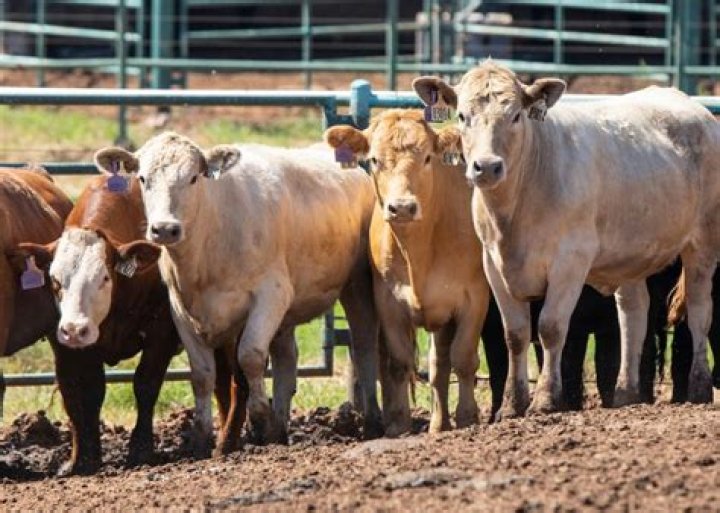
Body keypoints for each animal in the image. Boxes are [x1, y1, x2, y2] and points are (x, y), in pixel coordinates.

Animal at [15, 174, 241, 474]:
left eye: (104, 278)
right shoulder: (82, 346)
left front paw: (140, 449)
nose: (73, 330)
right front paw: (86, 458)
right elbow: (90, 393)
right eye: (55, 280)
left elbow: (145, 384)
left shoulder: (161, 333)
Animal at [93, 132, 383, 457]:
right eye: (143, 178)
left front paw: (259, 421)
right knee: (286, 358)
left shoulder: (270, 295)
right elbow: (202, 374)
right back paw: (280, 429)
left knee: (364, 344)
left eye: (194, 177)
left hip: (357, 283)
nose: (165, 229)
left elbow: (251, 357)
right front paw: (201, 439)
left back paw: (371, 422)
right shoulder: (180, 310)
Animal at [325, 110, 507, 434]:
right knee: (436, 365)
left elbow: (464, 358)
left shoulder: (474, 298)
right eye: (374, 159)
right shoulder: (387, 302)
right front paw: (398, 424)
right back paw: (436, 423)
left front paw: (467, 417)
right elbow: (399, 362)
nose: (402, 208)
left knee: (445, 362)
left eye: (427, 158)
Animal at [413, 60, 720, 417]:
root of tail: (692, 105)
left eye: (516, 115)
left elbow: (551, 328)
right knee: (633, 315)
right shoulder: (493, 264)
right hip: (631, 255)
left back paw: (699, 388)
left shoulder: (570, 262)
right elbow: (515, 334)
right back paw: (625, 393)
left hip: (703, 244)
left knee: (699, 311)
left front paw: (545, 400)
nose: (487, 167)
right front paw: (512, 404)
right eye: (462, 116)